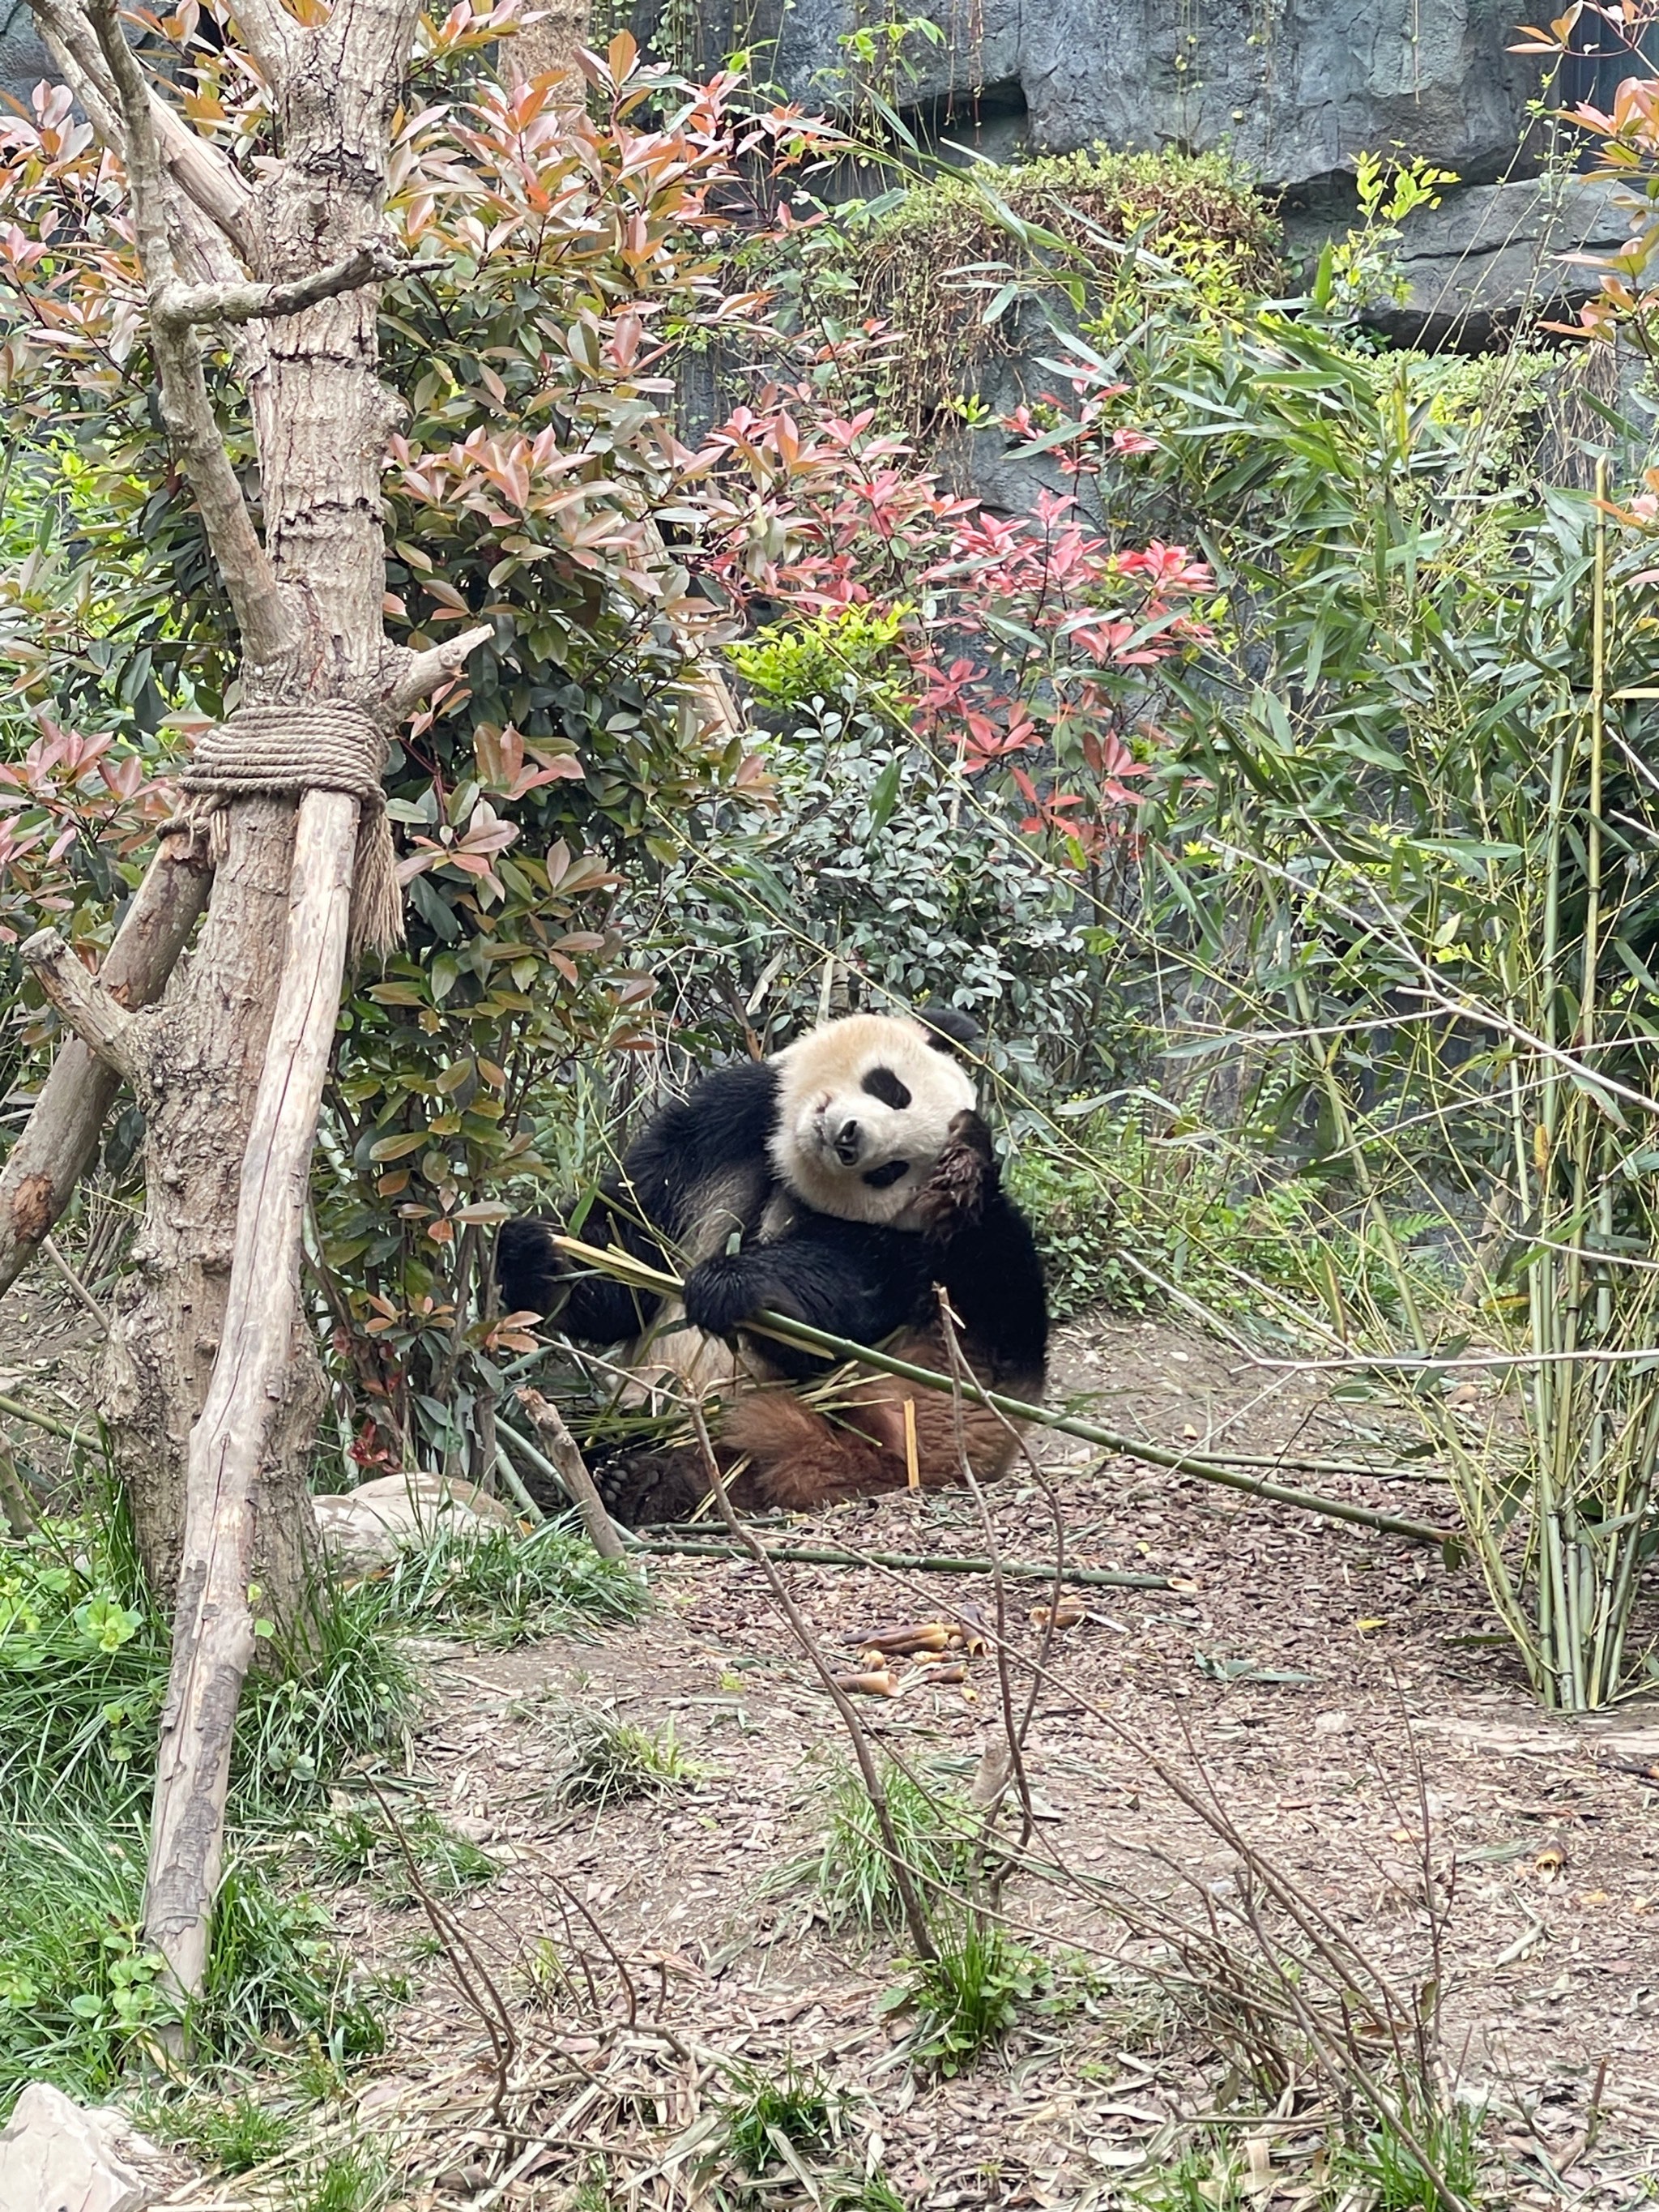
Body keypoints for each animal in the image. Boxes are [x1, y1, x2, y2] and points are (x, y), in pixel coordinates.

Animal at [493, 1004, 1057, 1522]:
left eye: (892, 1171)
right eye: (893, 1090)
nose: (850, 1137)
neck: (786, 1161)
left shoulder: (890, 1244)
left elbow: (829, 1315)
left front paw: (731, 1285)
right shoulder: (721, 1123)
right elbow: (632, 1245)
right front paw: (535, 1258)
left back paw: (651, 1481)